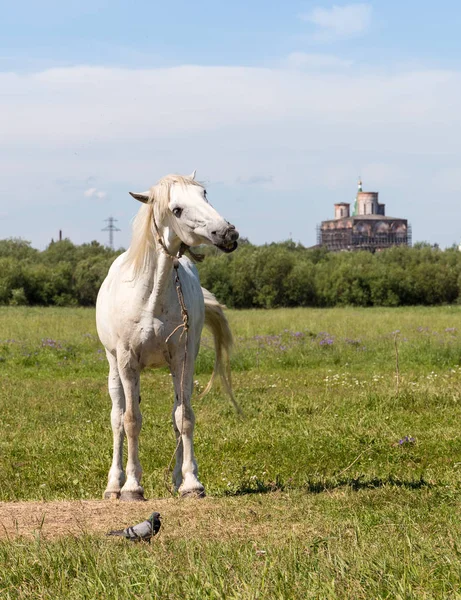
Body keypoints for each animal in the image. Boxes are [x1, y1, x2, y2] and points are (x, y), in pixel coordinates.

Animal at [97, 171, 241, 500]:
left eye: (204, 195)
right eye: (176, 209)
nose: (227, 233)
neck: (151, 294)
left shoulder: (183, 359)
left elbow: (183, 418)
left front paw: (191, 482)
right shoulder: (127, 362)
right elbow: (130, 421)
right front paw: (132, 487)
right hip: (114, 367)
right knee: (117, 418)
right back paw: (114, 485)